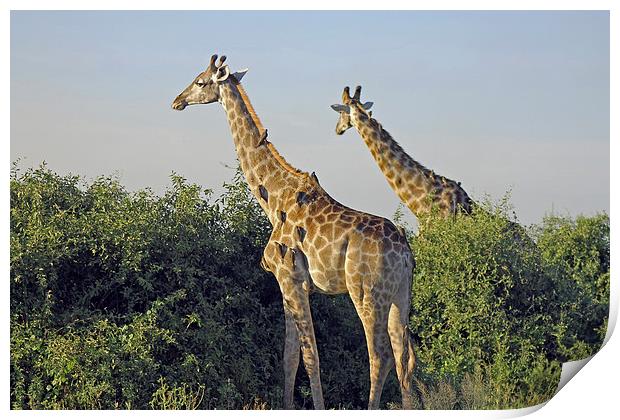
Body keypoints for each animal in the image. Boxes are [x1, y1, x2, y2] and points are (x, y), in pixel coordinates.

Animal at [171, 55, 416, 410]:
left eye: (200, 82)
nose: (177, 101)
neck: (273, 198)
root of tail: (406, 253)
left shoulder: (291, 278)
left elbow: (310, 356)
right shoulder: (288, 283)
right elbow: (290, 357)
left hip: (367, 293)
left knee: (379, 355)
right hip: (401, 295)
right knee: (404, 357)